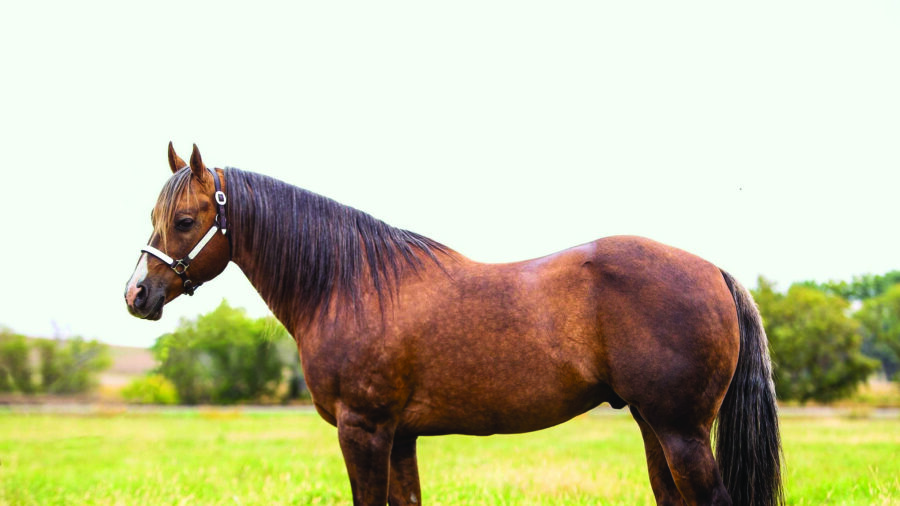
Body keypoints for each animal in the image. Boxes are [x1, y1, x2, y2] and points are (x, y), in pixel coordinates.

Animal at [125, 143, 783, 506]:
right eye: (157, 215)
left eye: (185, 220)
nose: (136, 294)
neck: (348, 284)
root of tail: (714, 270)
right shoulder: (400, 437)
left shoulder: (364, 431)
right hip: (656, 426)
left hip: (682, 432)